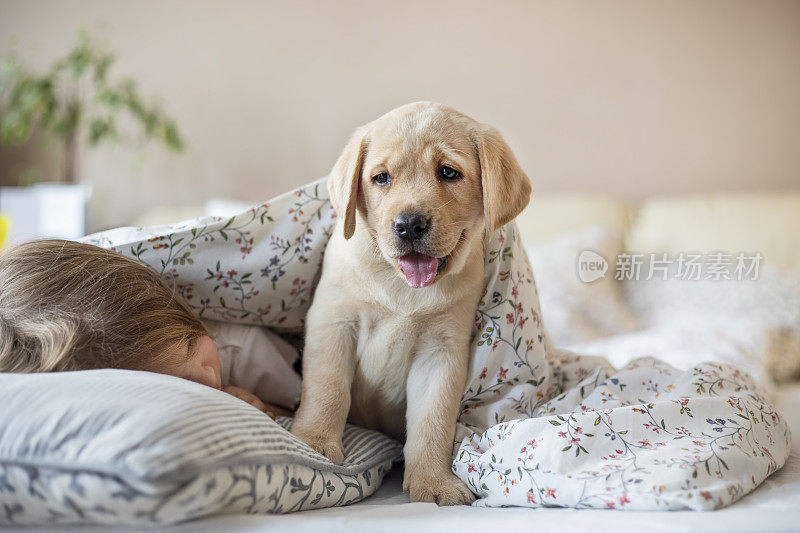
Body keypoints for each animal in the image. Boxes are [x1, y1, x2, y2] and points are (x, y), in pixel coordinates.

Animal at [292, 102, 532, 504]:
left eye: (448, 172)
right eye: (381, 178)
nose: (409, 225)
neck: (401, 287)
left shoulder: (441, 352)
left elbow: (432, 422)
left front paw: (433, 482)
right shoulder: (333, 324)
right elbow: (327, 391)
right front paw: (315, 444)